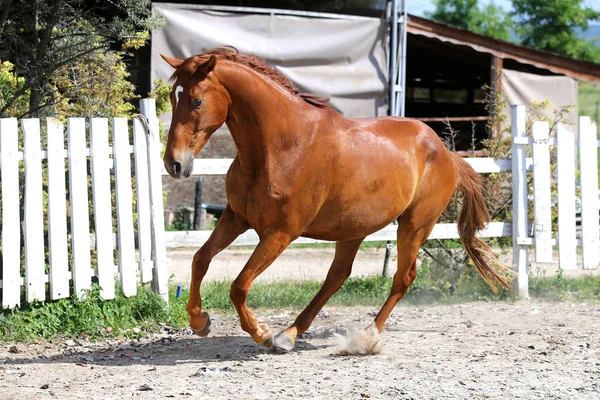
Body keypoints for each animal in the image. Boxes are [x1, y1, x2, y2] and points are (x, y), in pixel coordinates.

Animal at [159, 47, 510, 354]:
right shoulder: (236, 218)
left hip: (414, 226)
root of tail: (446, 153)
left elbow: (239, 285)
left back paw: (363, 338)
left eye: (196, 100)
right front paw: (200, 321)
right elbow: (200, 259)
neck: (281, 146)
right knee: (337, 276)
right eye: (173, 97)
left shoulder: (280, 233)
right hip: (353, 229)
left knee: (401, 279)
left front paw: (261, 333)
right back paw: (290, 334)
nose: (174, 164)